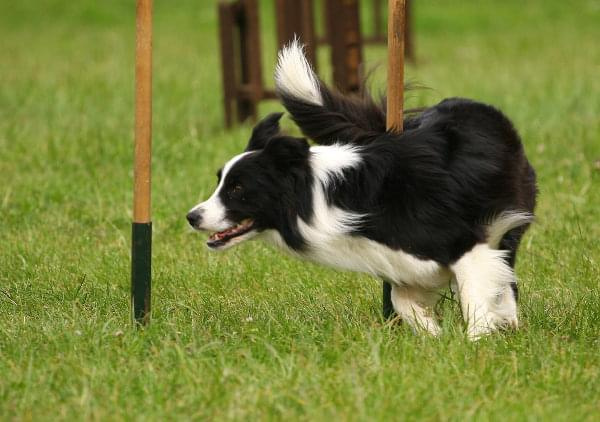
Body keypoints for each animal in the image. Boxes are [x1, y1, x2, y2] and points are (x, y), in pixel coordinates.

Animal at [185, 42, 536, 340]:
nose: (192, 216)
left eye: (237, 188)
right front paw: (433, 336)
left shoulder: (467, 243)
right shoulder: (405, 263)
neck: (326, 200)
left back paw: (511, 323)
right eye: (220, 182)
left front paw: (477, 343)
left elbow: (475, 297)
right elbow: (402, 299)